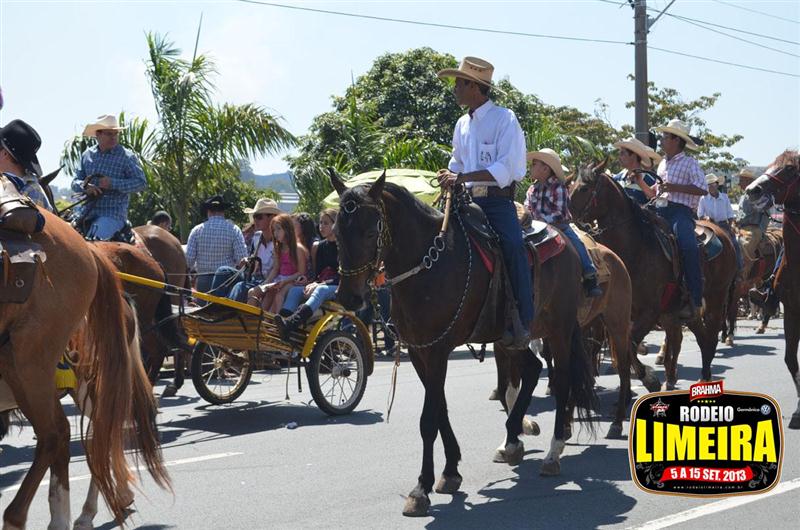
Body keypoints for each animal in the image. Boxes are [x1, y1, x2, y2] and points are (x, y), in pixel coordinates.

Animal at [330, 170, 597, 517]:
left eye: (369, 230)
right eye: (336, 232)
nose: (349, 297)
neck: (428, 266)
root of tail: (566, 240)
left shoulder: (437, 351)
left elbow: (428, 419)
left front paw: (421, 488)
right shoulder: (420, 351)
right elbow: (440, 408)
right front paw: (451, 471)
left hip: (560, 330)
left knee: (562, 381)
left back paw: (553, 453)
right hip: (513, 337)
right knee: (531, 370)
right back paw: (511, 441)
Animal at [569, 163, 739, 389]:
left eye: (584, 188)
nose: (566, 217)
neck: (637, 248)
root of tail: (723, 235)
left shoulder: (650, 312)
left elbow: (630, 343)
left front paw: (649, 378)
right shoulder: (627, 314)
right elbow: (625, 347)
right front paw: (648, 377)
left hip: (715, 300)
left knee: (710, 336)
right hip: (682, 312)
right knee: (701, 338)